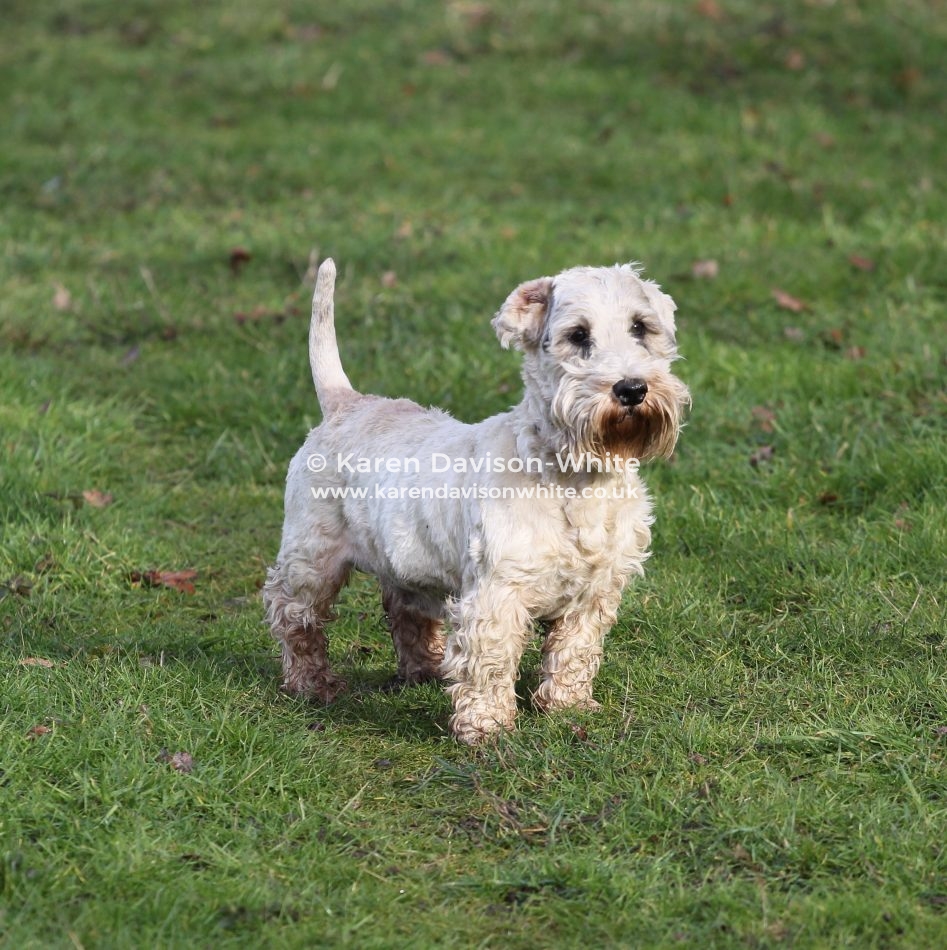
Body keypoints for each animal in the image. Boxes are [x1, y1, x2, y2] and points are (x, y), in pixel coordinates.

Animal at [266, 258, 688, 744]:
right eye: (579, 335)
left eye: (641, 327)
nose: (632, 389)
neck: (573, 477)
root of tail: (344, 402)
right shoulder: (496, 592)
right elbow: (490, 660)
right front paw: (486, 726)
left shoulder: (595, 590)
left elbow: (574, 650)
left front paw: (569, 706)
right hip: (312, 557)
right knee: (293, 615)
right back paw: (312, 685)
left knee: (404, 609)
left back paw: (425, 670)